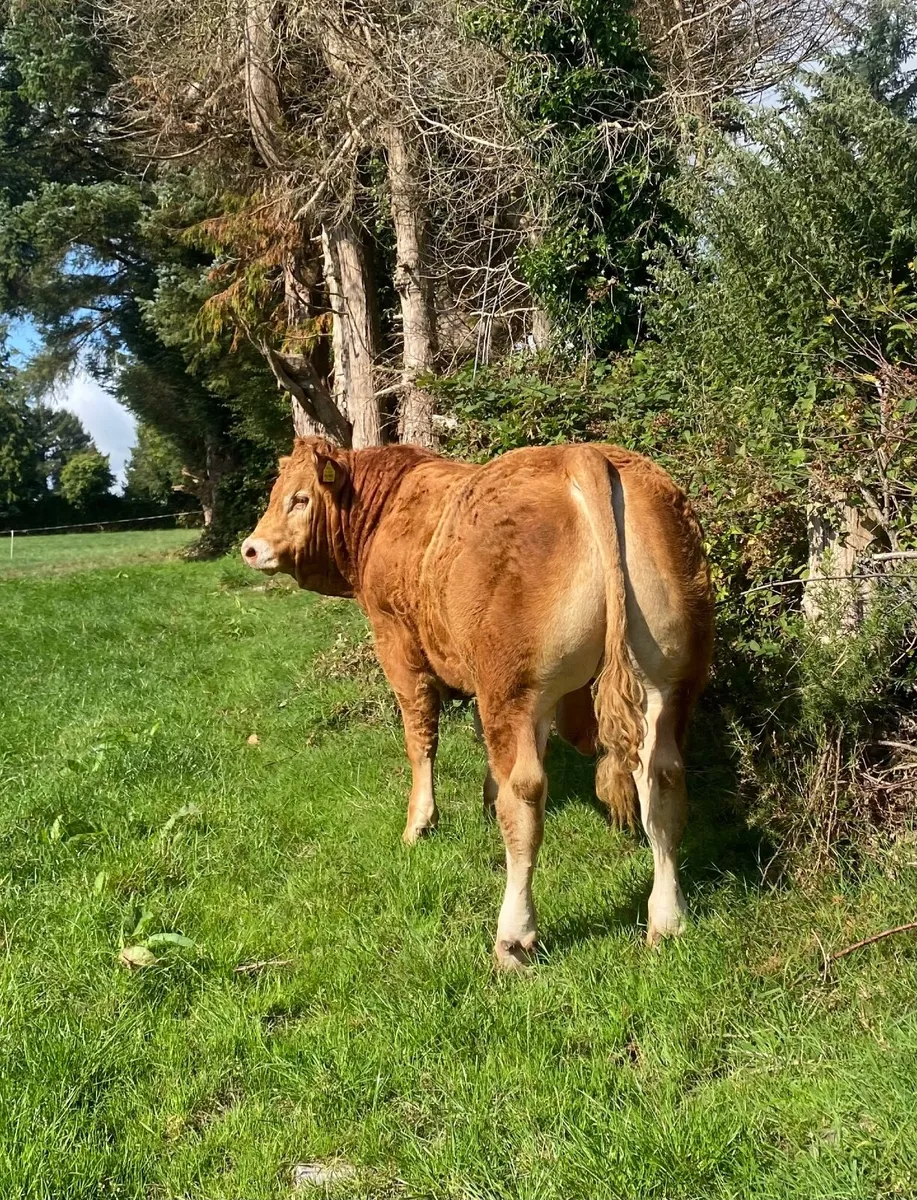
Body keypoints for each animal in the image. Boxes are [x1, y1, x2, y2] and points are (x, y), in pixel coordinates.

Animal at [241, 438, 713, 970]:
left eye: (299, 498)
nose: (251, 548)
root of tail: (582, 453)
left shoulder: (397, 645)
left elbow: (420, 738)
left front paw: (419, 823)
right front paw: (484, 802)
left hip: (514, 686)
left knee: (526, 794)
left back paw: (513, 938)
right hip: (666, 681)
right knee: (661, 780)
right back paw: (667, 921)